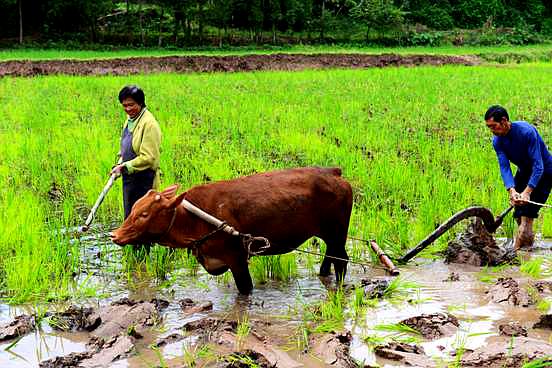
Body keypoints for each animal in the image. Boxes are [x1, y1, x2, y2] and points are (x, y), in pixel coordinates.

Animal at [111, 167, 354, 294]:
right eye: (135, 207)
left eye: (144, 214)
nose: (115, 235)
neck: (193, 218)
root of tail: (333, 172)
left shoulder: (237, 260)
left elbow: (245, 289)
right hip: (330, 236)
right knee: (330, 257)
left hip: (337, 234)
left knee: (341, 260)